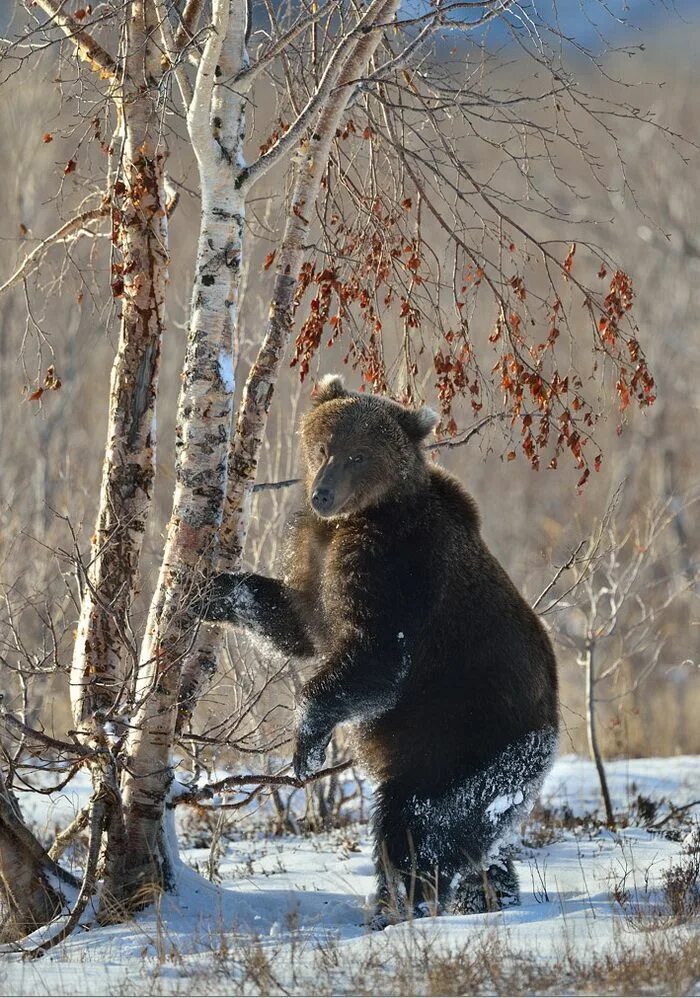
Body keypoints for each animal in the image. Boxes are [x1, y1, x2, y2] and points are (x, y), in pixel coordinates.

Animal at [200, 378, 560, 924]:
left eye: (359, 454)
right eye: (324, 447)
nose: (323, 493)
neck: (359, 517)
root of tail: (550, 734)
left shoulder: (396, 564)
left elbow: (377, 657)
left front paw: (307, 745)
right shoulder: (319, 554)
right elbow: (298, 622)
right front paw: (211, 590)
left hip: (462, 740)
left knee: (418, 825)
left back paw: (398, 908)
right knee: (479, 842)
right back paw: (489, 896)